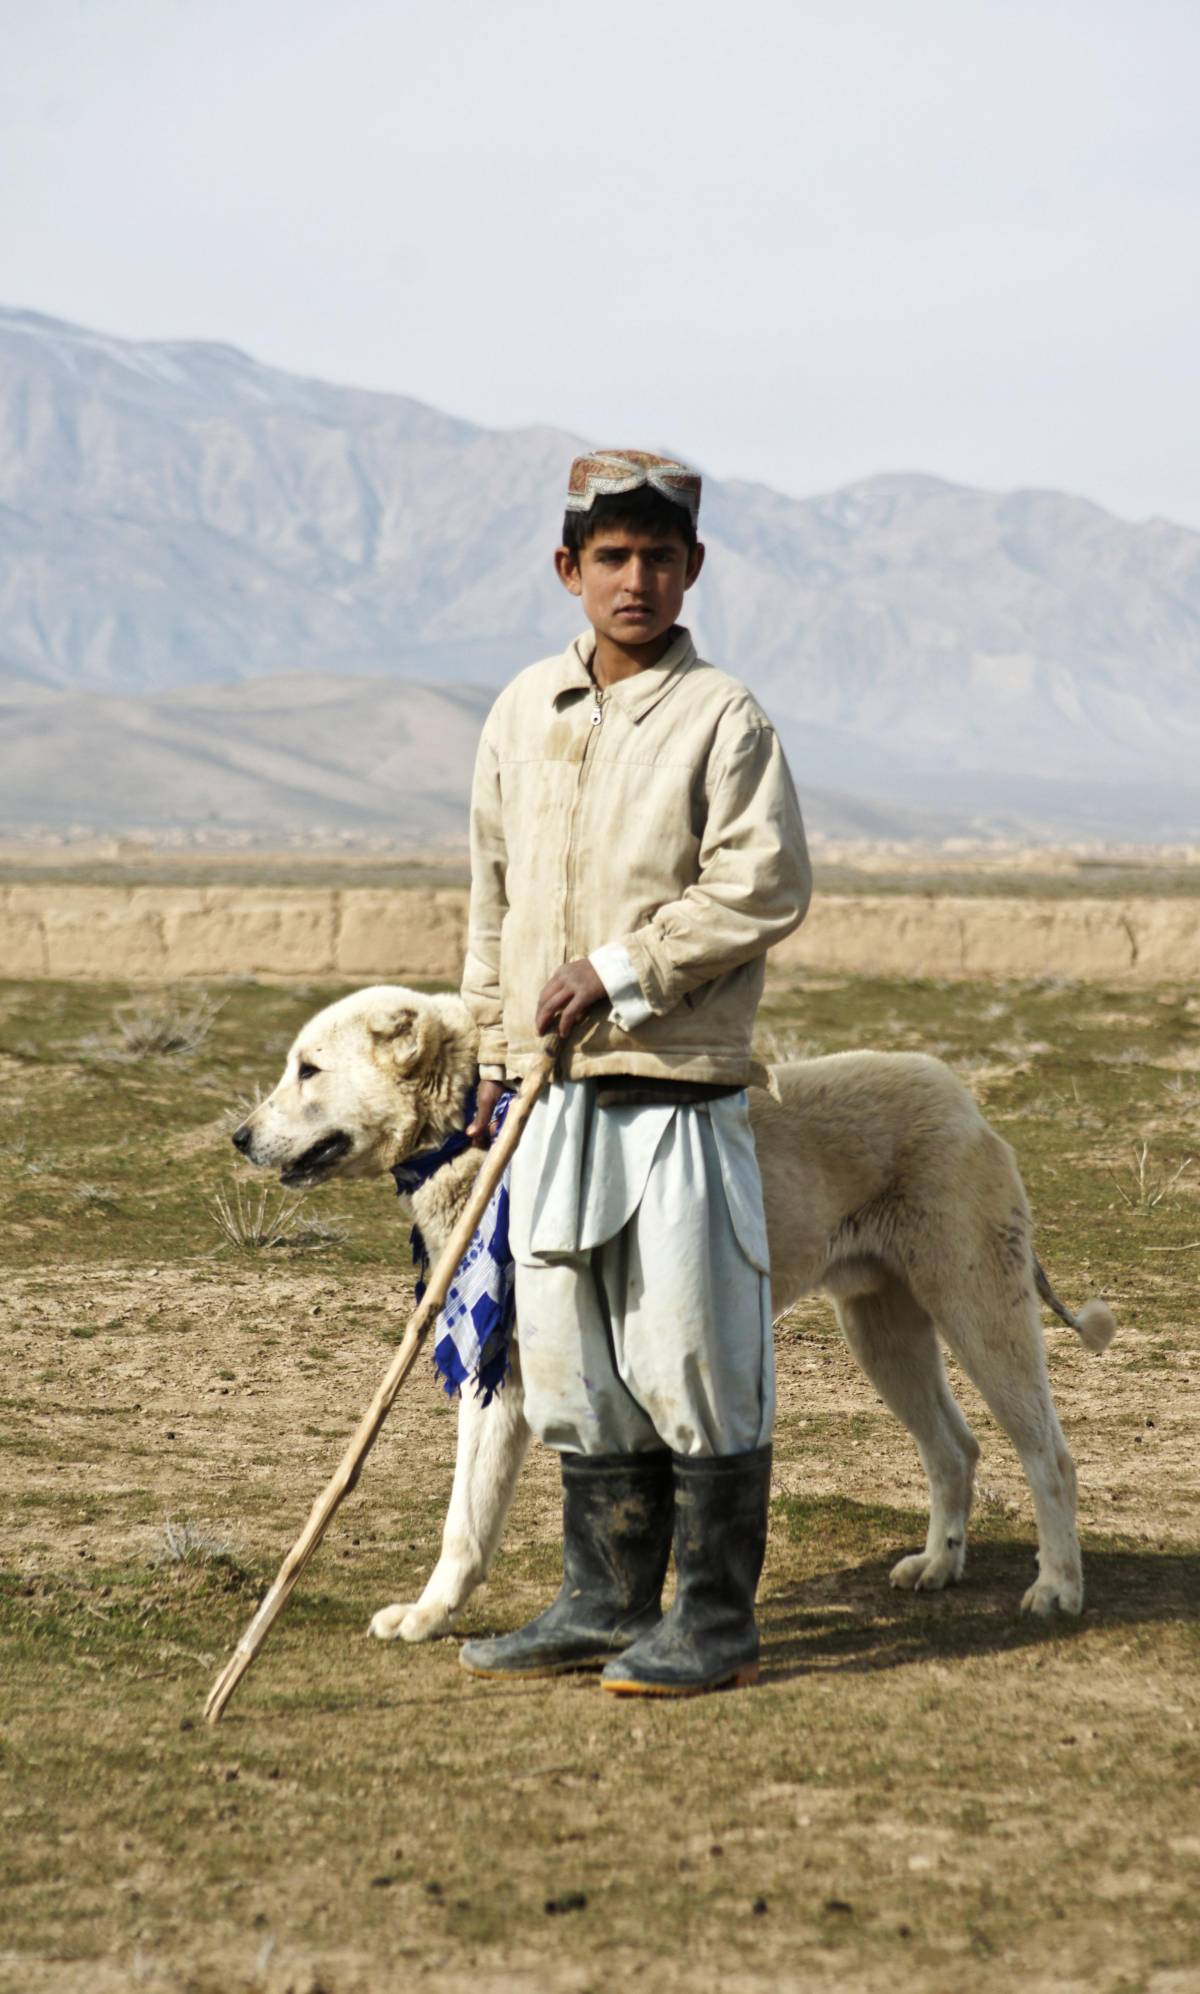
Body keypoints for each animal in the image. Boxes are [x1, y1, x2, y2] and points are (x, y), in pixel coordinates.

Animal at [233, 989, 1108, 1643]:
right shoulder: (505, 1378)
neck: (479, 1136)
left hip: (978, 1306)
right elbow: (470, 1516)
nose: (240, 1138)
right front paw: (430, 1615)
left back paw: (1059, 1587)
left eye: (308, 1069)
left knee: (1048, 1454)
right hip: (882, 1330)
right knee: (954, 1449)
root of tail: (967, 1103)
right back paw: (939, 1566)